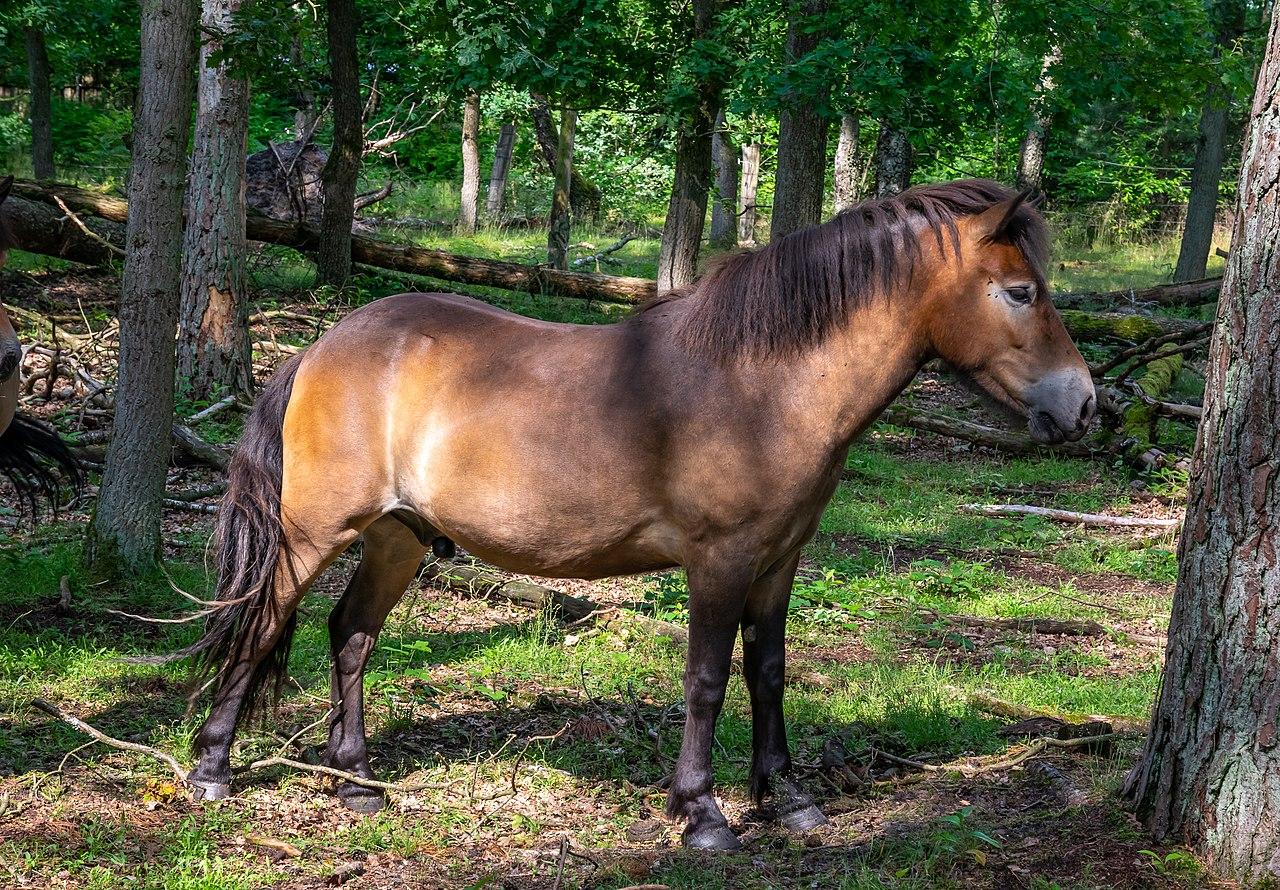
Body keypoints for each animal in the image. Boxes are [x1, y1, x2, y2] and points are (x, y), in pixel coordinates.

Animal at [180, 178, 1095, 850]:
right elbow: (707, 681)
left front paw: (786, 796)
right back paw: (212, 769)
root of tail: (320, 348)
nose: (1085, 404)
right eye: (1021, 292)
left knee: (352, 635)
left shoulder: (779, 560)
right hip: (313, 533)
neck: (764, 383)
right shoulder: (721, 560)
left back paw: (358, 783)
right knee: (264, 620)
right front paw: (703, 815)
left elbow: (768, 672)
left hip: (396, 539)